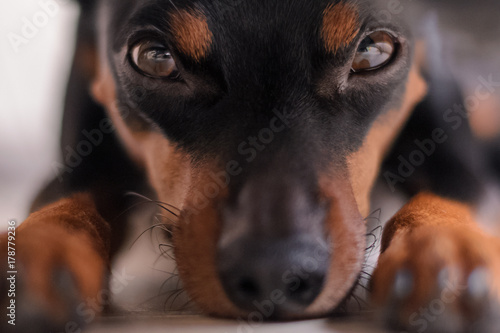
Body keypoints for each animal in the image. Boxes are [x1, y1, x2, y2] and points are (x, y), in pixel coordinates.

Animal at [0, 0, 500, 330]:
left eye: (373, 52)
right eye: (154, 57)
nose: (274, 273)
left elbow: (458, 188)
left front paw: (447, 250)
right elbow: (67, 193)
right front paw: (39, 247)